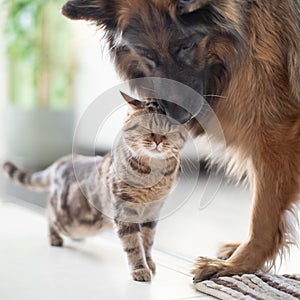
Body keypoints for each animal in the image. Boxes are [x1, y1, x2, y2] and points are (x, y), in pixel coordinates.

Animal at [3, 92, 188, 282]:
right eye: (146, 126)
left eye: (169, 130)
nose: (158, 140)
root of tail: (63, 160)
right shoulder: (125, 211)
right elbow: (134, 244)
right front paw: (140, 268)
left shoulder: (152, 213)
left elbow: (147, 241)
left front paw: (149, 262)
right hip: (65, 218)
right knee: (49, 213)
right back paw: (54, 238)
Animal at [61, 0, 300, 282]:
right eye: (147, 54)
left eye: (185, 46)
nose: (178, 117)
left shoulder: (276, 136)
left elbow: (262, 215)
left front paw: (236, 266)